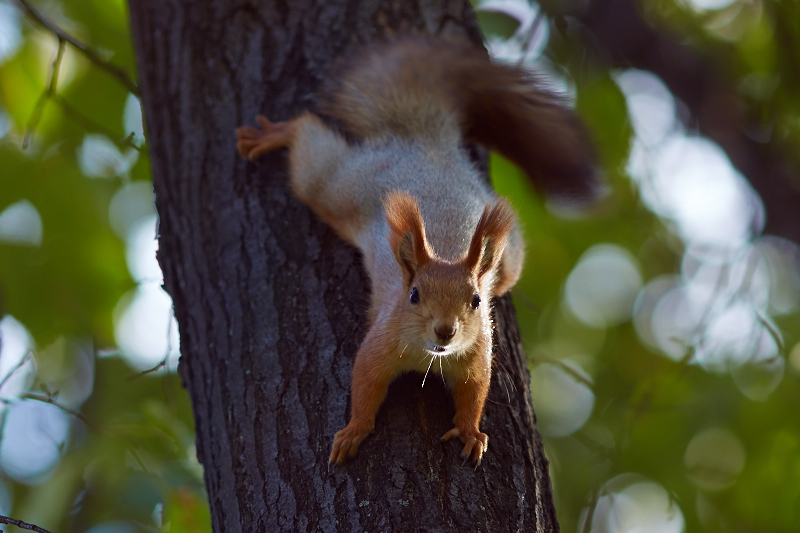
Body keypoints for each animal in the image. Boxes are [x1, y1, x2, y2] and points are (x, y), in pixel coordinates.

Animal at [234, 35, 596, 464]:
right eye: (414, 295)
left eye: (476, 301)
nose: (445, 330)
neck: (430, 355)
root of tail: (427, 144)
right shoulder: (380, 342)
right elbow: (364, 383)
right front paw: (354, 431)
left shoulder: (477, 354)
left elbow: (474, 394)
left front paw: (471, 432)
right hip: (340, 186)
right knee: (311, 151)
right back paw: (278, 133)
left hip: (510, 257)